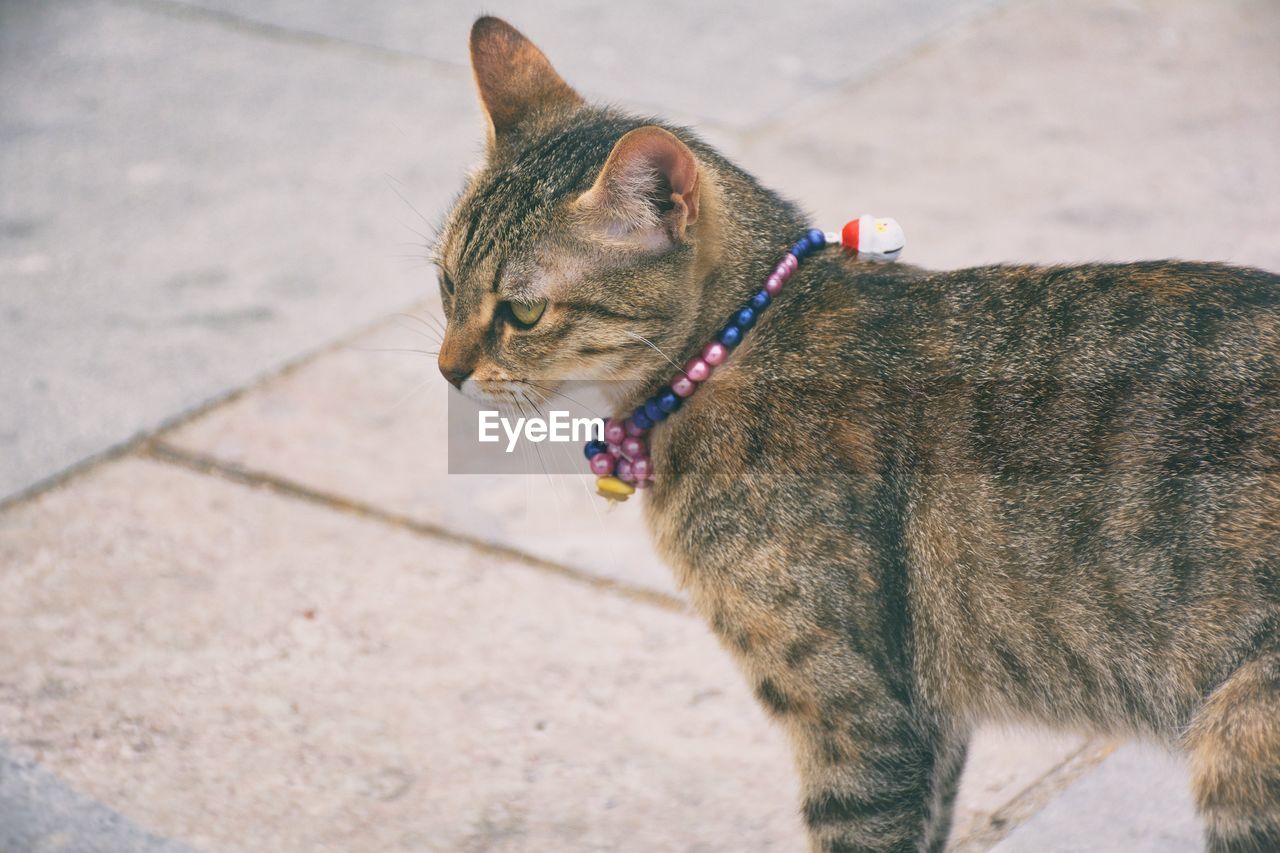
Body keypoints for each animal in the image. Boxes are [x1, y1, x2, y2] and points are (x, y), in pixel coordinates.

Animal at [435, 14, 1274, 850]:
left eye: (523, 312)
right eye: (445, 282)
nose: (447, 368)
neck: (740, 340)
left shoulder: (857, 714)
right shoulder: (929, 725)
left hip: (1239, 736)